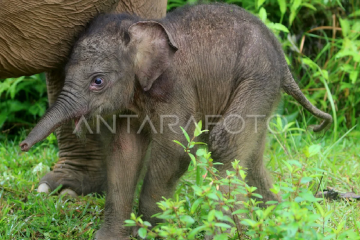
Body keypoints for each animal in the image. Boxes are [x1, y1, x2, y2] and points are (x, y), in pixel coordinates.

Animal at [21, 2, 332, 239]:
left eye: (97, 81)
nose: (23, 146)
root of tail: (284, 62)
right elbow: (124, 153)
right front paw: (110, 237)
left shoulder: (175, 90)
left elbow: (175, 150)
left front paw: (155, 230)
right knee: (250, 156)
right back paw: (275, 218)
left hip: (258, 79)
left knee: (224, 144)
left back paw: (230, 232)